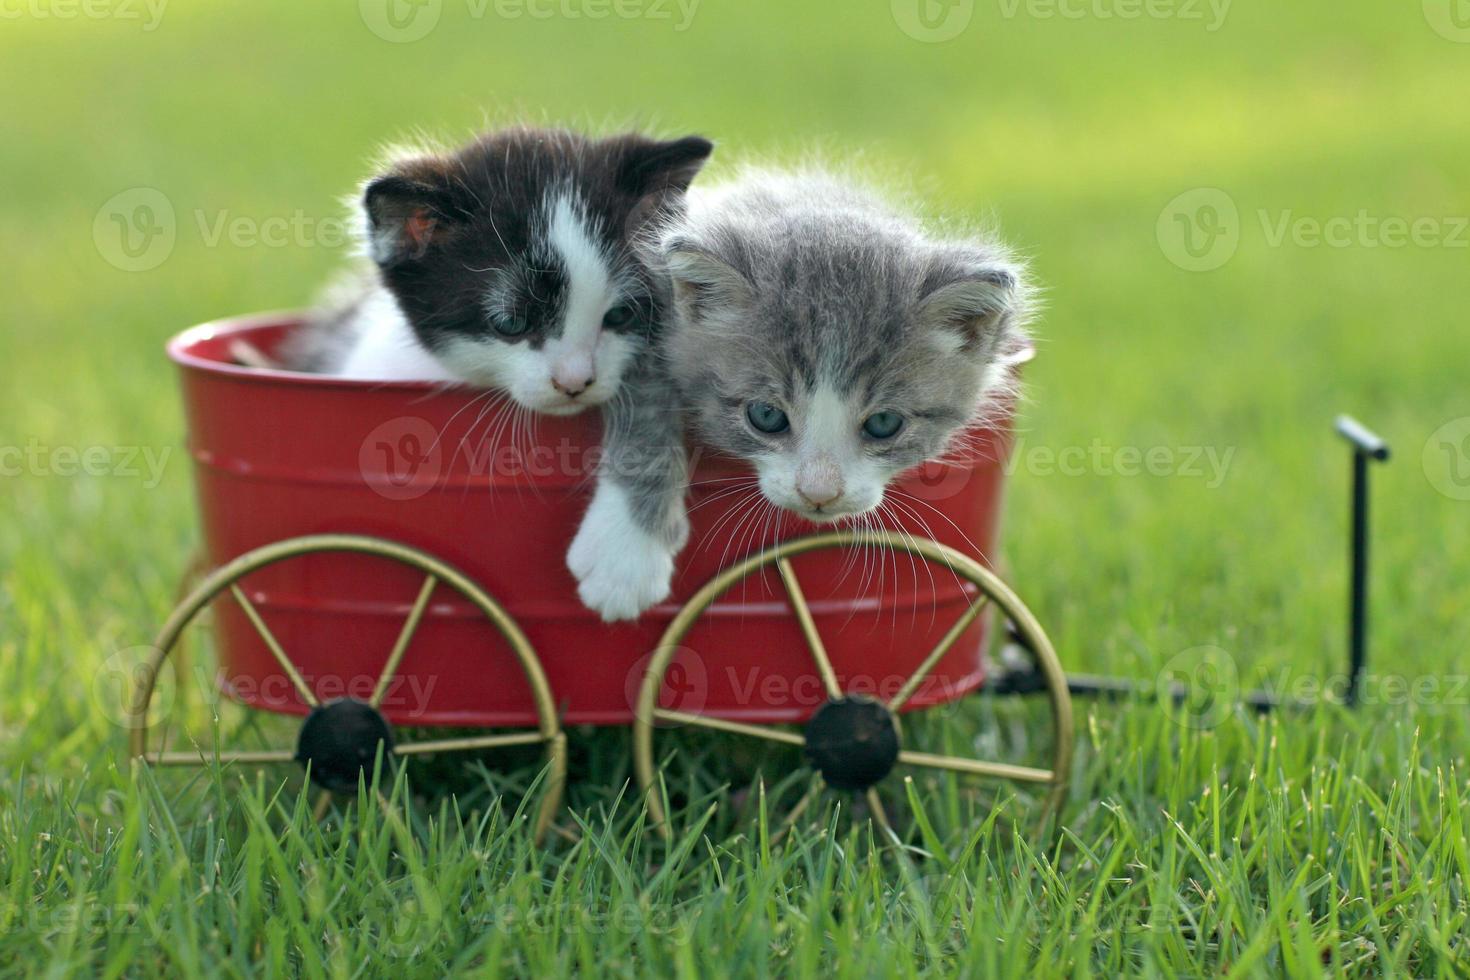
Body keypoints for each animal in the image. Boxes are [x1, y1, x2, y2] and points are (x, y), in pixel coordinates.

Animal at [567, 166, 1029, 617]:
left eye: (884, 423)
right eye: (766, 416)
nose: (819, 493)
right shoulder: (640, 320)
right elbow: (644, 400)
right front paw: (624, 555)